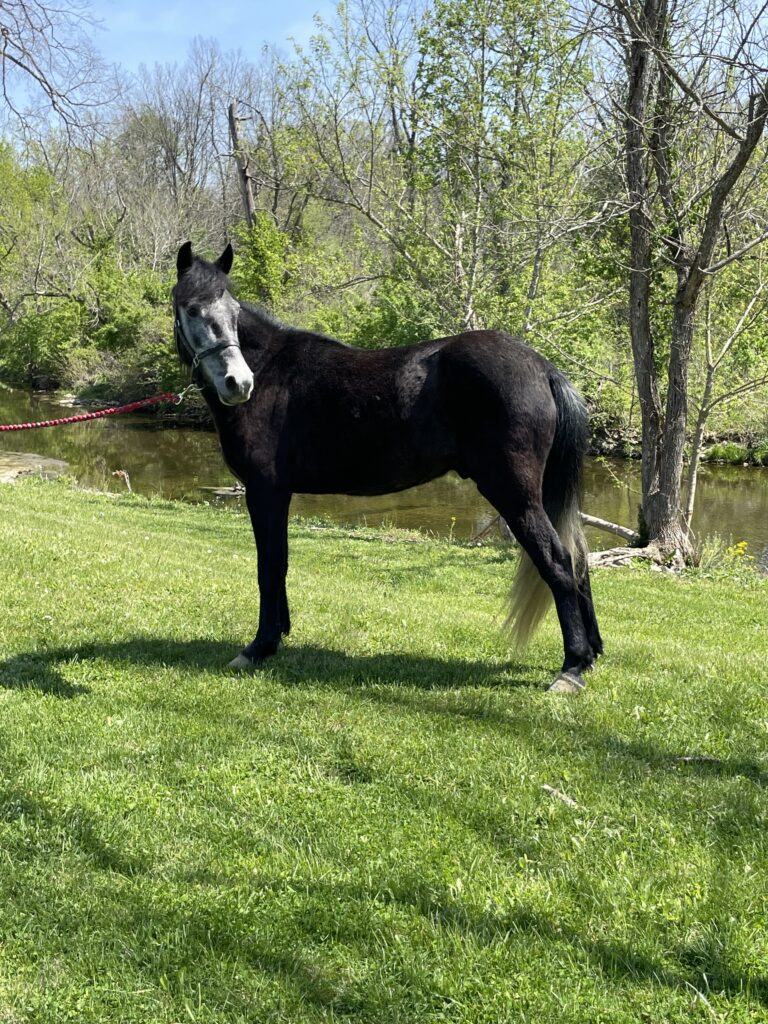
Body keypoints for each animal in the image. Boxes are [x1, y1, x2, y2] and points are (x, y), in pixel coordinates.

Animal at [173, 240, 602, 692]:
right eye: (192, 309)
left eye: (233, 311)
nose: (238, 384)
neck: (272, 373)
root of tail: (542, 367)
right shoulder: (278, 495)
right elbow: (280, 563)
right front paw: (279, 634)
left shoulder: (264, 491)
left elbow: (268, 566)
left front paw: (259, 646)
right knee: (578, 559)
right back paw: (591, 655)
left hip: (515, 495)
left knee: (558, 560)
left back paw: (572, 667)